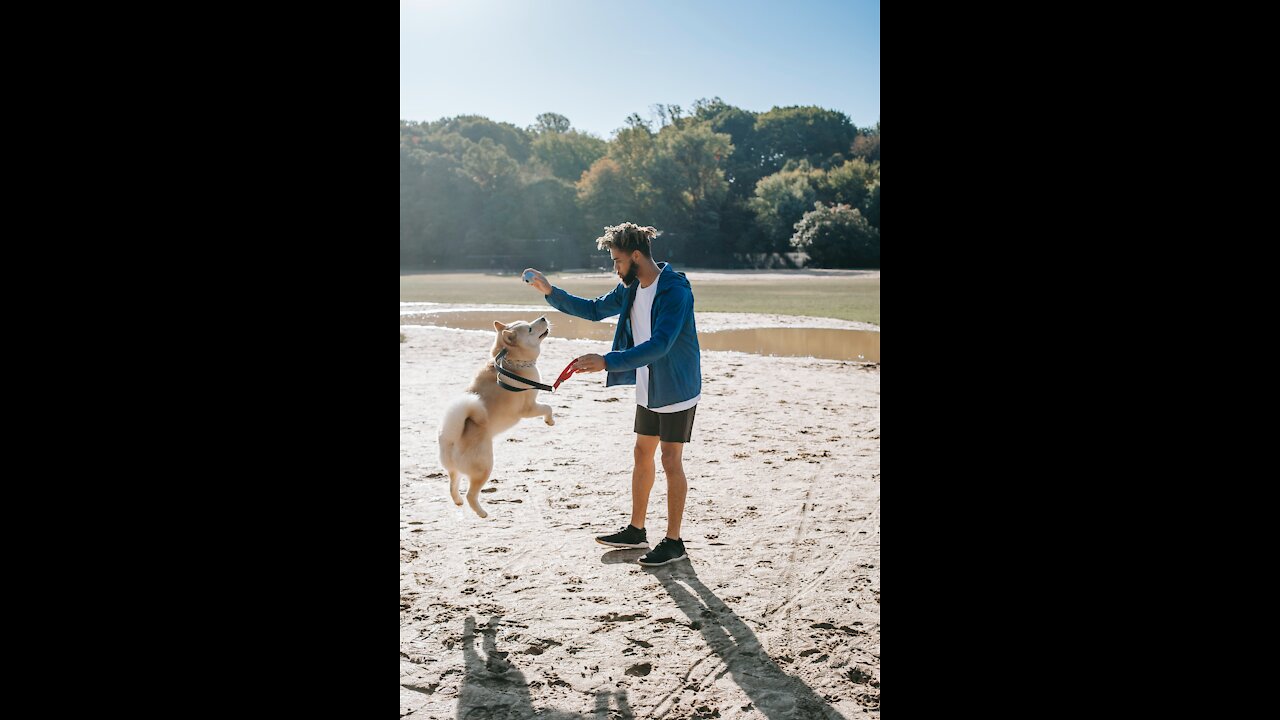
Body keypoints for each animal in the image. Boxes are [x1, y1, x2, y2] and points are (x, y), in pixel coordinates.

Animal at [437, 315, 552, 515]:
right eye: (530, 329)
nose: (543, 317)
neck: (511, 362)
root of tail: (452, 438)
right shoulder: (529, 408)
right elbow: (548, 407)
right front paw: (550, 421)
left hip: (454, 469)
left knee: (453, 484)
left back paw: (458, 501)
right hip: (485, 468)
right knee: (471, 494)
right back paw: (481, 512)